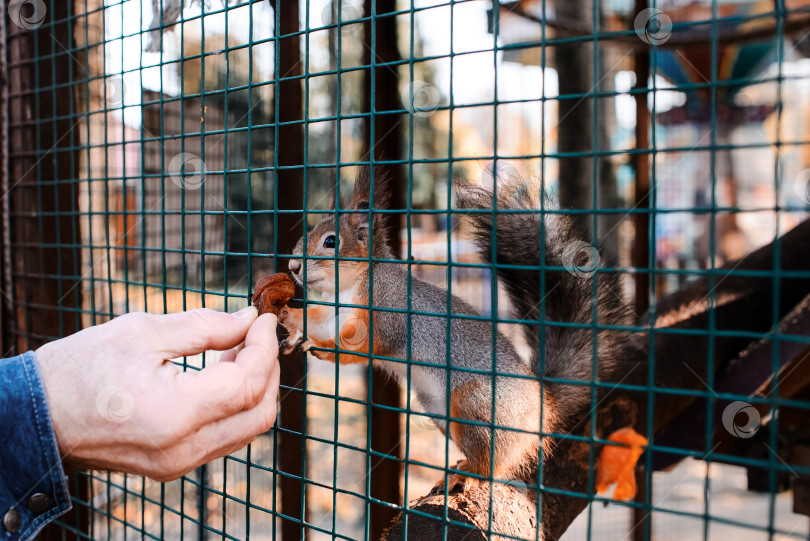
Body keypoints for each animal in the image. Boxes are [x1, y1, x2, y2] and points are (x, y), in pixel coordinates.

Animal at [272, 167, 632, 488]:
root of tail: (545, 408)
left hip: (476, 408)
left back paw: (469, 472)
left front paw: (321, 347)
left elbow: (357, 348)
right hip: (438, 410)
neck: (351, 287)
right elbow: (319, 320)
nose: (293, 266)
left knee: (494, 463)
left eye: (332, 241)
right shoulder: (336, 313)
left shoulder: (386, 315)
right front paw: (290, 318)